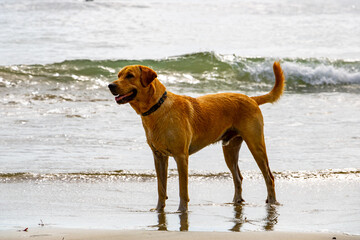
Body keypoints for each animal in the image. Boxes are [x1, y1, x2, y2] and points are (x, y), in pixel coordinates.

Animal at [108, 62, 286, 212]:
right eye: (119, 75)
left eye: (130, 75)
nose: (110, 85)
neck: (157, 108)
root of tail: (251, 98)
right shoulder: (159, 157)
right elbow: (161, 188)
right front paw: (159, 209)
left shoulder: (181, 156)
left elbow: (183, 189)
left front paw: (182, 211)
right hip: (230, 149)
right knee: (238, 177)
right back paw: (237, 201)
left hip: (256, 144)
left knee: (269, 177)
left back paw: (272, 203)